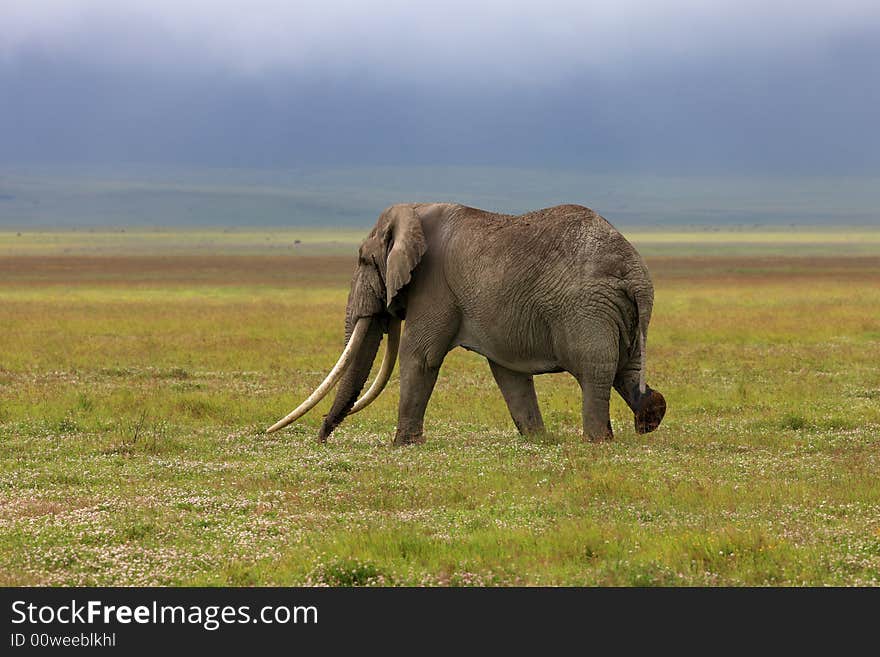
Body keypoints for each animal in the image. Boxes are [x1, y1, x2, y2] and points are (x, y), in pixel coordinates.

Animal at [268, 202, 668, 444]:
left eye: (365, 261)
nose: (321, 437)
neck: (414, 211)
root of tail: (634, 270)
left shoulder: (433, 286)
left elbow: (420, 357)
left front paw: (403, 445)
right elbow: (508, 373)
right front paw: (537, 440)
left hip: (586, 309)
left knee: (595, 371)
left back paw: (597, 441)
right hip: (619, 312)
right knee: (626, 370)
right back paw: (650, 415)